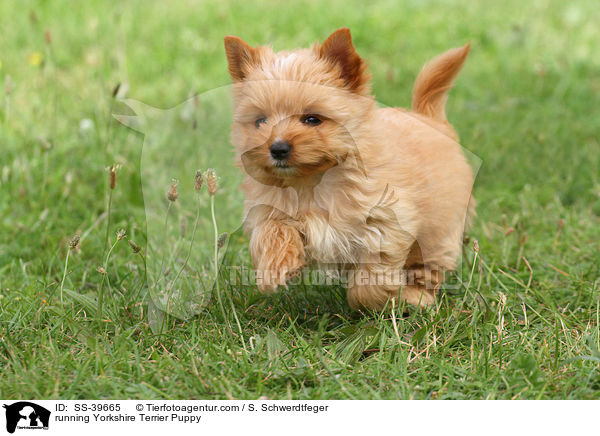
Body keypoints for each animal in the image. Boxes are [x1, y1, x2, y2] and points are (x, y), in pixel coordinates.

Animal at [224, 28, 474, 310]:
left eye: (312, 119)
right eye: (260, 121)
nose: (277, 148)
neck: (312, 182)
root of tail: (429, 118)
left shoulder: (386, 222)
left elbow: (372, 276)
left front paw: (378, 300)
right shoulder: (269, 209)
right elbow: (271, 230)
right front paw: (276, 267)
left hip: (439, 229)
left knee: (427, 265)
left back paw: (416, 297)